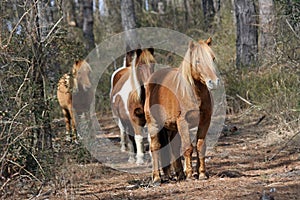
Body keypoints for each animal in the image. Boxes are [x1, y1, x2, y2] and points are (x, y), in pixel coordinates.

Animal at [144, 37, 219, 184]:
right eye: (197, 61)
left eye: (213, 58)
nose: (214, 82)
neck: (193, 93)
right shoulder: (183, 122)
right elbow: (188, 148)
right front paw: (190, 174)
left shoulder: (205, 121)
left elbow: (200, 146)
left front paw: (201, 173)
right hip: (154, 124)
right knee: (155, 147)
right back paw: (157, 178)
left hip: (172, 128)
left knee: (173, 147)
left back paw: (179, 174)